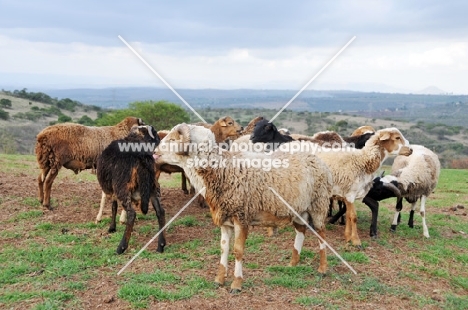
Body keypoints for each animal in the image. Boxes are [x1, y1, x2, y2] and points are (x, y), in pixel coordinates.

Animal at [96, 124, 166, 253]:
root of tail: (142, 157)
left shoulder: (113, 189)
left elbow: (113, 207)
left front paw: (112, 228)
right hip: (153, 187)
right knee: (160, 211)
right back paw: (161, 245)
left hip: (122, 187)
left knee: (132, 214)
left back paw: (121, 247)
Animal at [154, 123, 332, 294]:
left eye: (172, 140)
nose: (154, 153)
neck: (221, 170)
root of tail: (316, 158)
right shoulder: (225, 220)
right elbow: (223, 249)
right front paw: (219, 280)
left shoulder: (241, 217)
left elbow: (238, 251)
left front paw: (236, 284)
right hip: (299, 209)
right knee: (301, 231)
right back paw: (293, 264)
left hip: (318, 204)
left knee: (321, 234)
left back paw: (322, 269)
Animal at [249, 120, 410, 246]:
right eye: (397, 137)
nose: (411, 149)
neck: (362, 161)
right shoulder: (350, 193)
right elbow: (354, 217)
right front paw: (356, 241)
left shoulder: (348, 194)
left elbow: (349, 215)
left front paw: (347, 236)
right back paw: (272, 229)